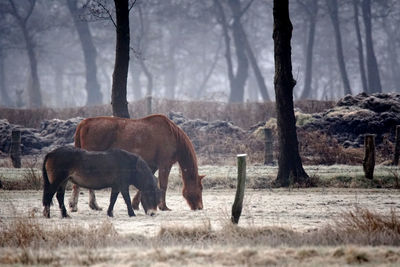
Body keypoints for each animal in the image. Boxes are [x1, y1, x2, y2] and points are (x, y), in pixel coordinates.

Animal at [69, 114, 203, 213]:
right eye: (200, 188)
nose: (200, 207)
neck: (172, 136)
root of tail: (83, 124)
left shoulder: (152, 165)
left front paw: (135, 204)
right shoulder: (165, 164)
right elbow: (163, 185)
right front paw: (163, 206)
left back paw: (87, 205)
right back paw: (79, 205)